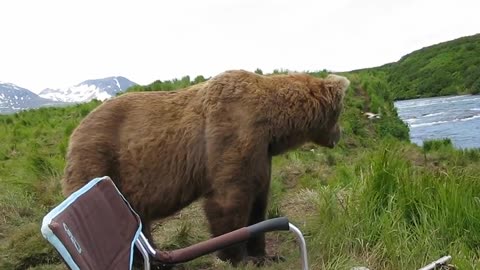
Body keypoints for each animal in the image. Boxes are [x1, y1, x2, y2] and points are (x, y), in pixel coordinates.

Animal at [62, 69, 350, 266]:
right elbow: (228, 200)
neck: (272, 124)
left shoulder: (261, 153)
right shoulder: (230, 133)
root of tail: (74, 133)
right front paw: (237, 256)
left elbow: (259, 202)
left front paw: (264, 254)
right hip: (100, 162)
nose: (339, 135)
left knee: (139, 224)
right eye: (339, 113)